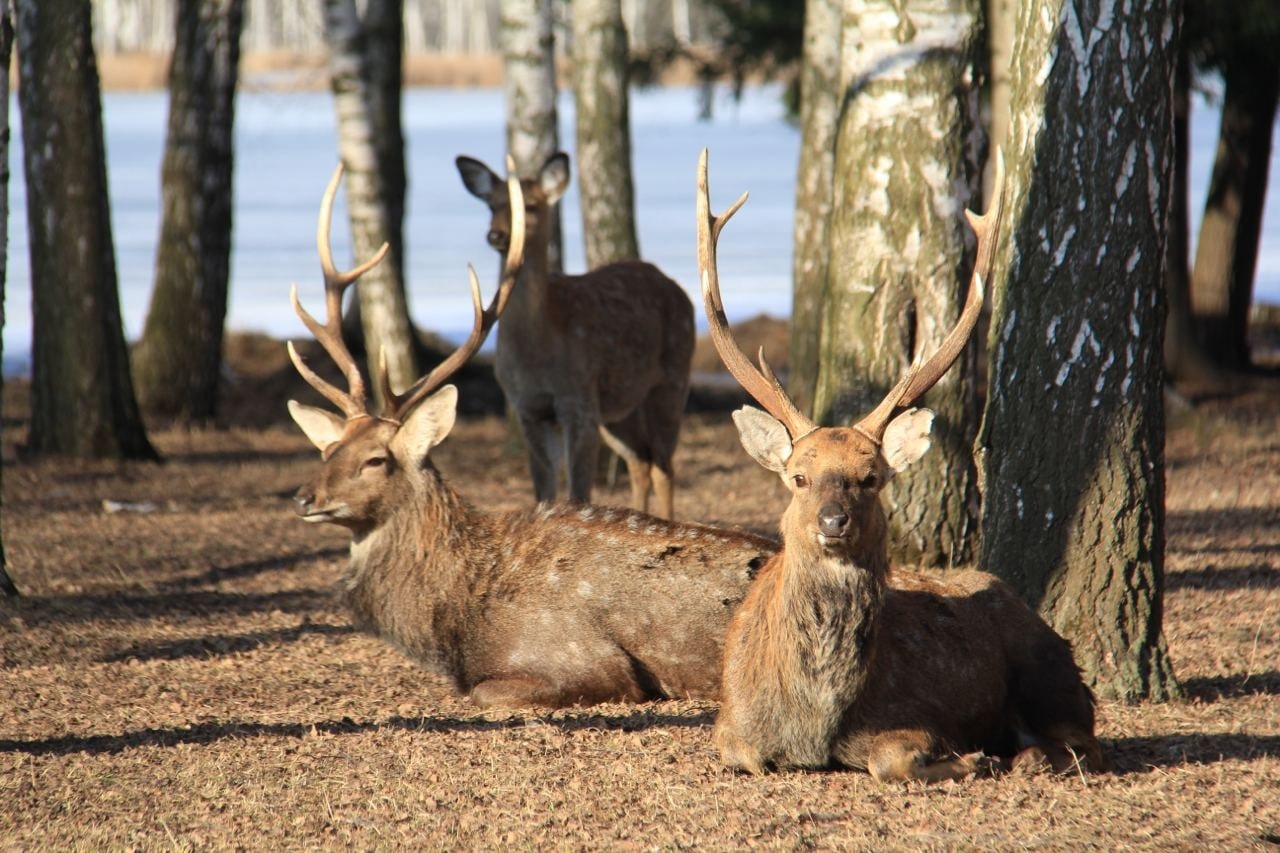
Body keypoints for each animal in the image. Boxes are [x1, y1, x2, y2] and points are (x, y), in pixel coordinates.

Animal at [455, 151, 696, 517]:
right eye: (492, 205)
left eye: (530, 205)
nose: (496, 235)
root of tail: (681, 292)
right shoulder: (527, 407)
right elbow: (543, 490)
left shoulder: (578, 399)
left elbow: (580, 492)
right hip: (618, 406)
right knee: (640, 461)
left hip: (672, 377)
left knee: (663, 465)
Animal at [696, 149, 1105, 778]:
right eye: (798, 478)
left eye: (870, 477)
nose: (833, 521)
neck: (812, 722)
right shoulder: (730, 723)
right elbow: (746, 754)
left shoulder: (910, 715)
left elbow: (894, 759)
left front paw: (970, 758)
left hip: (1051, 668)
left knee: (1086, 739)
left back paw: (1027, 755)